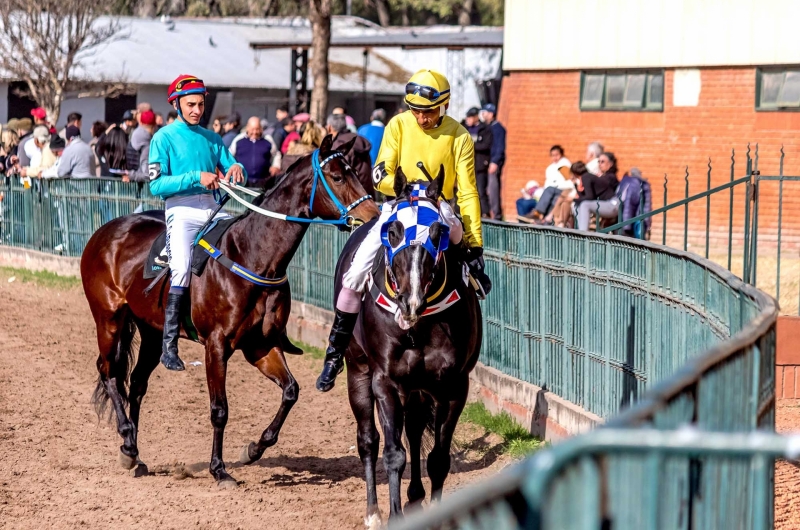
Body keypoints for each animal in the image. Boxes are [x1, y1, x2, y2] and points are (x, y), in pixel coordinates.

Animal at [80, 134, 378, 484]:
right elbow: (219, 410)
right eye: (338, 177)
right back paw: (127, 440)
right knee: (110, 374)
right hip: (109, 319)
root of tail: (106, 232)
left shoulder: (260, 345)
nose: (374, 215)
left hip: (152, 331)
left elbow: (291, 391)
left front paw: (254, 449)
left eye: (356, 172)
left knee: (137, 384)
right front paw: (219, 469)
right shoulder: (216, 345)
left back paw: (135, 455)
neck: (250, 254)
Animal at [336, 167, 482, 520]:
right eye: (393, 231)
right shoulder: (386, 381)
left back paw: (415, 496)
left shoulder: (452, 385)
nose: (410, 300)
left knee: (414, 431)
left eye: (439, 232)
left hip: (418, 386)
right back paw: (373, 512)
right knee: (368, 439)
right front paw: (393, 514)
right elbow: (393, 453)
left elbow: (438, 459)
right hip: (358, 369)